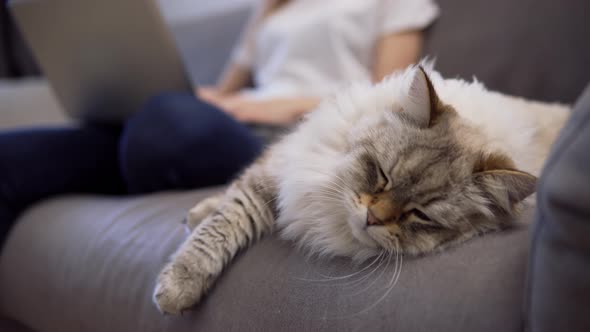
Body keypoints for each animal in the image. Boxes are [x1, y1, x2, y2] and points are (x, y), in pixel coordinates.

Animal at [154, 64, 572, 314]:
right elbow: (221, 222)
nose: (372, 217)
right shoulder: (276, 171)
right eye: (381, 175)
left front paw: (174, 290)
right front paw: (182, 271)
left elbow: (218, 228)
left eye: (419, 214)